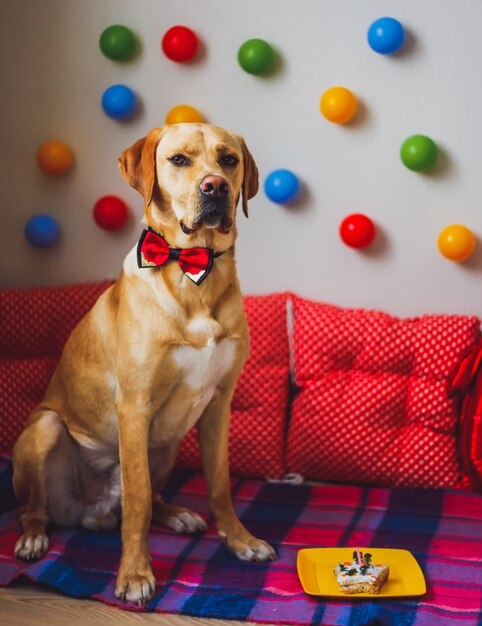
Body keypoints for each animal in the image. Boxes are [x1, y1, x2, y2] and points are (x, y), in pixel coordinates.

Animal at [11, 123, 274, 604]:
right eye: (179, 160)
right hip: (47, 427)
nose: (216, 188)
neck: (195, 273)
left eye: (228, 160)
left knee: (155, 498)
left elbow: (219, 485)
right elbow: (136, 501)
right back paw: (34, 537)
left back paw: (177, 514)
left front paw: (239, 540)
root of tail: (90, 510)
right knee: (34, 508)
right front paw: (134, 574)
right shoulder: (134, 408)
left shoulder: (218, 405)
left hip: (166, 444)